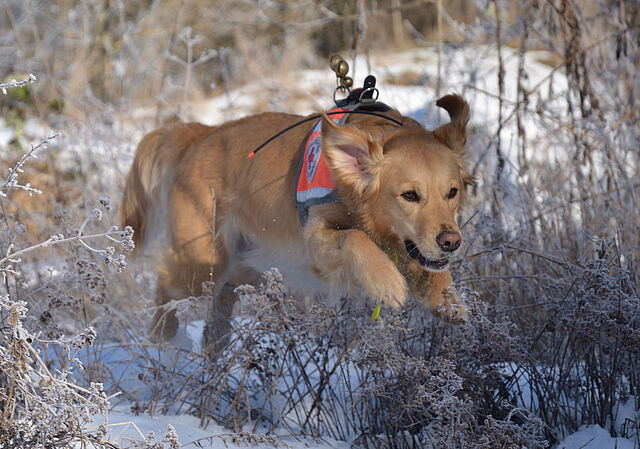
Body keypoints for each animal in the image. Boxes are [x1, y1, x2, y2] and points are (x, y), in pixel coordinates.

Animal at [121, 93, 470, 340]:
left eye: (452, 192)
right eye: (409, 195)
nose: (451, 242)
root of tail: (202, 133)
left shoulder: (416, 247)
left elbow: (434, 270)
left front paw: (449, 300)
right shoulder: (316, 242)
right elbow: (355, 237)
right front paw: (386, 281)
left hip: (239, 267)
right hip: (202, 265)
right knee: (165, 289)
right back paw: (164, 345)